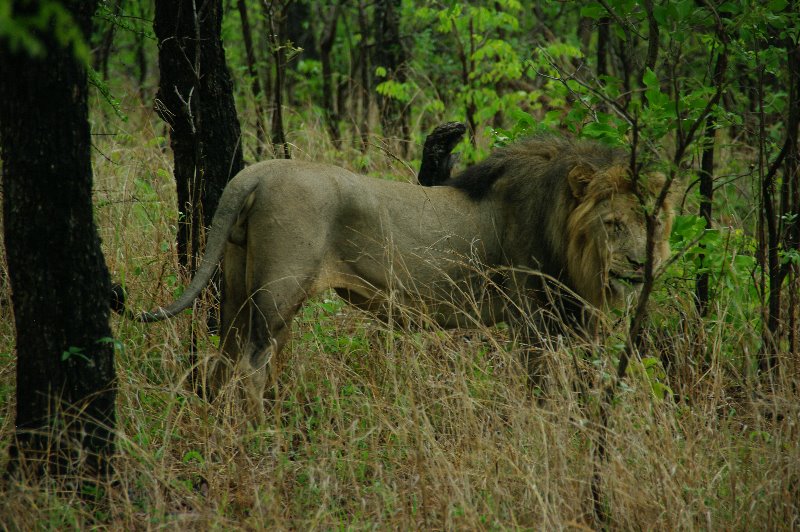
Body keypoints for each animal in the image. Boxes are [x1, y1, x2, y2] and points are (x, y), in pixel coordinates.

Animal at [126, 136, 674, 405]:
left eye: (648, 224)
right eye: (612, 224)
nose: (639, 264)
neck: (562, 230)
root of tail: (255, 172)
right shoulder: (533, 321)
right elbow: (546, 388)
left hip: (238, 288)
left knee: (221, 361)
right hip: (278, 293)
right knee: (249, 370)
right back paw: (260, 436)